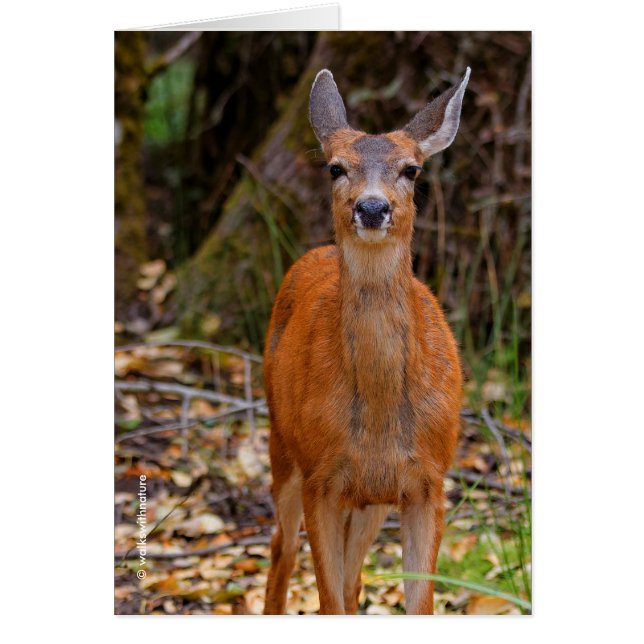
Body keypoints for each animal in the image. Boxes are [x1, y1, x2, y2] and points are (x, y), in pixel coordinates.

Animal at [262, 67, 470, 615]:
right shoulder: (321, 479)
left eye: (411, 170)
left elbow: (419, 603)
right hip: (282, 442)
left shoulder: (427, 480)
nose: (372, 207)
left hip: (372, 499)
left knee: (354, 579)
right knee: (281, 547)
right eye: (335, 167)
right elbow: (328, 599)